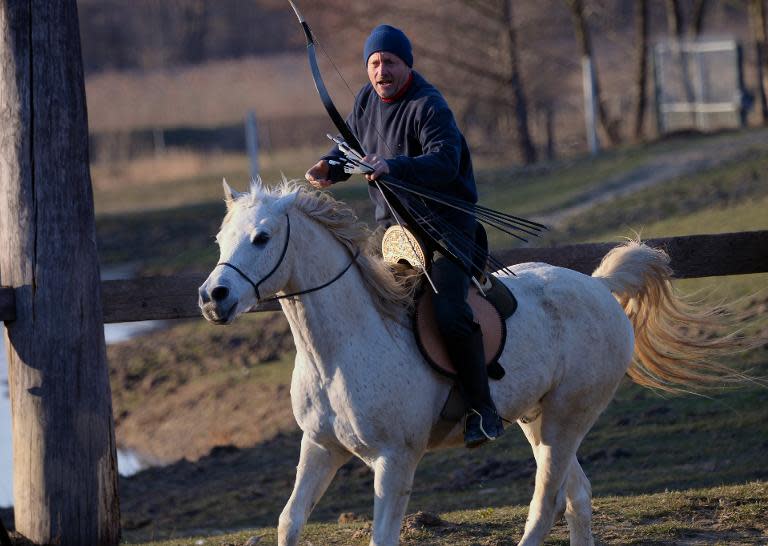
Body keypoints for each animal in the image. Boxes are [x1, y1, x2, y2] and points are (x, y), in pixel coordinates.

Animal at [201, 180, 740, 544]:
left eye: (262, 237)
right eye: (221, 239)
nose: (212, 297)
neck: (342, 347)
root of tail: (599, 287)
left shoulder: (395, 460)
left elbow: (382, 536)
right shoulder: (320, 448)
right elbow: (289, 522)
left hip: (567, 418)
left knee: (546, 503)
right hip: (537, 421)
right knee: (578, 497)